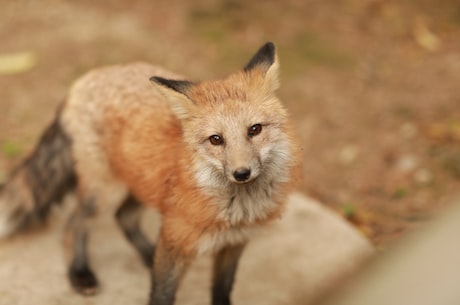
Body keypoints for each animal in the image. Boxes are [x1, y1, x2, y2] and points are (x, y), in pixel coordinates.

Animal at [0, 42, 302, 304]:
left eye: (255, 129)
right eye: (216, 139)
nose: (242, 173)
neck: (237, 211)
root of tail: (85, 80)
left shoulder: (233, 245)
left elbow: (221, 292)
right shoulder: (176, 237)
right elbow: (162, 295)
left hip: (142, 181)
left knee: (124, 217)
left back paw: (147, 254)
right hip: (105, 192)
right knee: (74, 224)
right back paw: (80, 273)